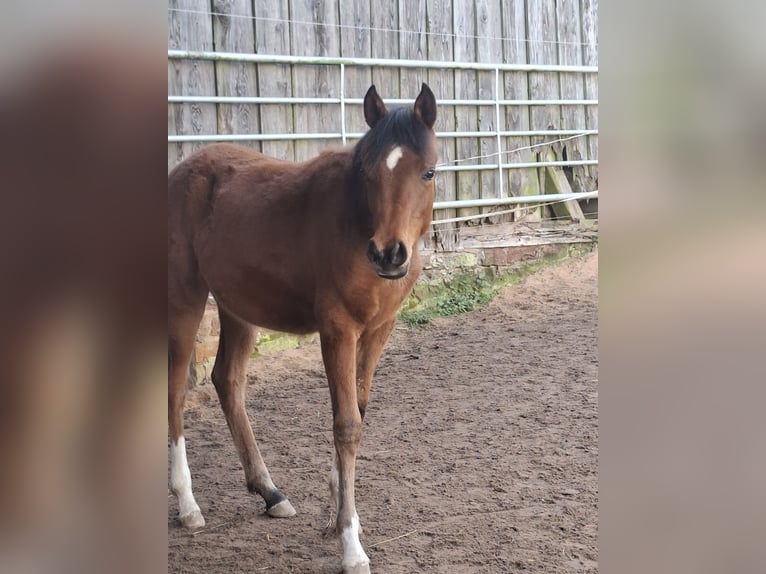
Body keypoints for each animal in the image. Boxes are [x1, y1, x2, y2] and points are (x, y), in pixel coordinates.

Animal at [168, 83, 437, 573]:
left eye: (427, 172)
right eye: (369, 172)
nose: (389, 254)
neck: (354, 223)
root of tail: (180, 173)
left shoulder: (378, 331)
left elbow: (358, 412)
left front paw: (336, 514)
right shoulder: (338, 331)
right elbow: (346, 424)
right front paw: (351, 544)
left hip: (238, 307)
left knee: (227, 380)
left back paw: (270, 492)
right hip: (184, 299)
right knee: (176, 390)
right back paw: (187, 503)